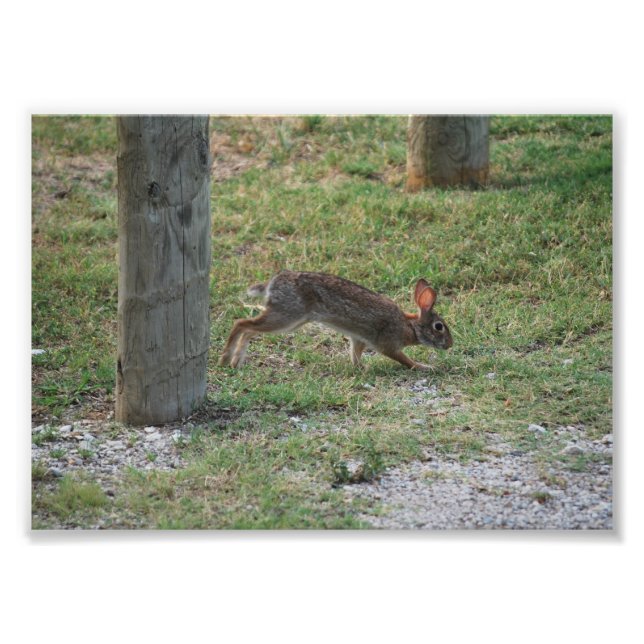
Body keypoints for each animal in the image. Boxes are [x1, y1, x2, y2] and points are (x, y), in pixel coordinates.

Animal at [218, 271, 453, 370]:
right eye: (439, 327)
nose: (450, 345)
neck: (410, 326)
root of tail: (271, 285)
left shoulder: (359, 340)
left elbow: (355, 354)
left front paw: (361, 369)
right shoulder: (389, 344)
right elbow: (404, 360)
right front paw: (425, 367)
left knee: (248, 329)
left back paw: (234, 361)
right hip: (286, 316)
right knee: (241, 324)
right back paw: (227, 359)